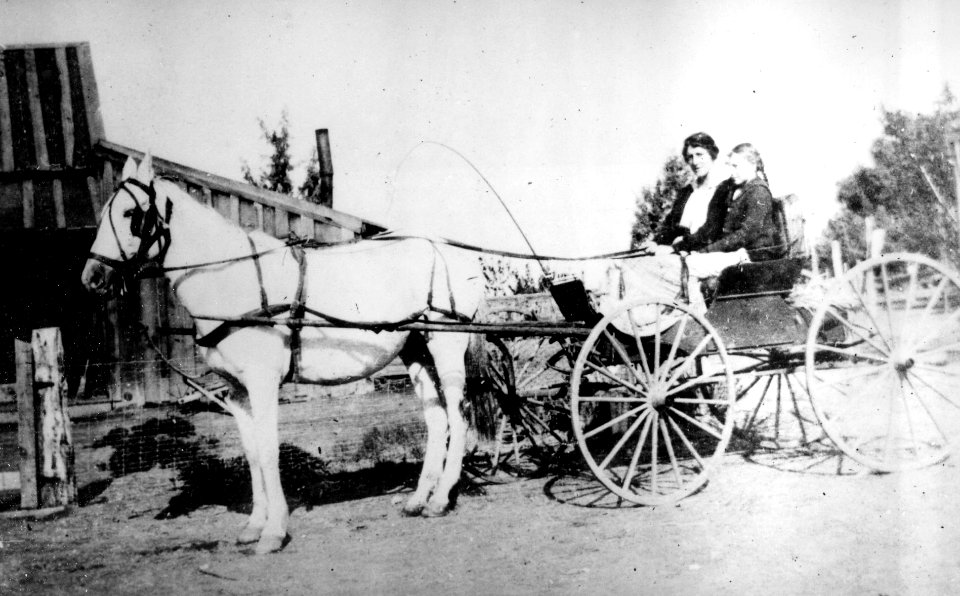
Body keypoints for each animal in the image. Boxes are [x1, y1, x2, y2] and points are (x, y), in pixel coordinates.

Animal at [82, 154, 484, 556]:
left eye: (131, 213)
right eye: (103, 214)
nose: (92, 279)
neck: (235, 280)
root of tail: (451, 251)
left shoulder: (263, 383)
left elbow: (269, 451)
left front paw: (274, 531)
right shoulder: (237, 391)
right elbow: (253, 454)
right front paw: (253, 526)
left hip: (446, 345)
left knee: (459, 415)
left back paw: (440, 500)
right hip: (416, 349)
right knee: (437, 420)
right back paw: (418, 500)